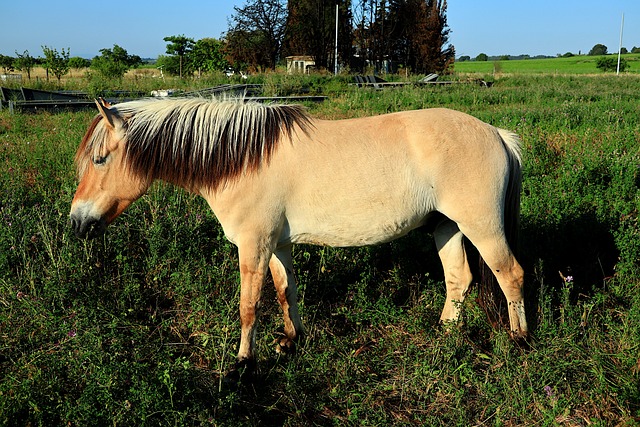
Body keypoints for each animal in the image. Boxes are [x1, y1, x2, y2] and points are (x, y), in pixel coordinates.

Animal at [71, 98, 528, 378]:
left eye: (100, 159)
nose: (77, 223)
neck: (241, 159)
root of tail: (497, 134)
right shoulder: (278, 245)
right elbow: (284, 290)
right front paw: (292, 341)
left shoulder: (253, 244)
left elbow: (249, 306)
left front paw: (244, 366)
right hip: (446, 226)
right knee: (459, 280)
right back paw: (443, 337)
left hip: (481, 227)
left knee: (511, 276)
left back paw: (519, 343)